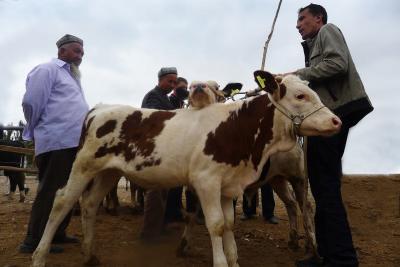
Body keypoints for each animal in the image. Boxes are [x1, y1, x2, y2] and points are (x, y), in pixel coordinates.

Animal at [30, 71, 340, 267]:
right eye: (300, 96)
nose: (336, 121)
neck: (236, 130)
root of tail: (100, 108)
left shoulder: (228, 187)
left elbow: (229, 226)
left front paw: (232, 259)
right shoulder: (206, 181)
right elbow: (215, 225)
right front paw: (219, 261)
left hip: (109, 172)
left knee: (90, 203)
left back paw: (89, 255)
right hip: (84, 165)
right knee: (62, 201)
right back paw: (39, 256)